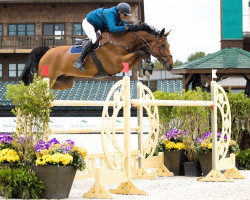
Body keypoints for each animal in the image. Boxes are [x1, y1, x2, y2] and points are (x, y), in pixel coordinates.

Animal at [20, 23, 173, 90]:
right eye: (163, 45)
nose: (170, 65)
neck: (121, 41)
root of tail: (47, 52)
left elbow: (143, 53)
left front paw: (149, 68)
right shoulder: (116, 63)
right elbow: (140, 52)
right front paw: (148, 67)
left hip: (62, 82)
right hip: (46, 77)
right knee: (35, 87)